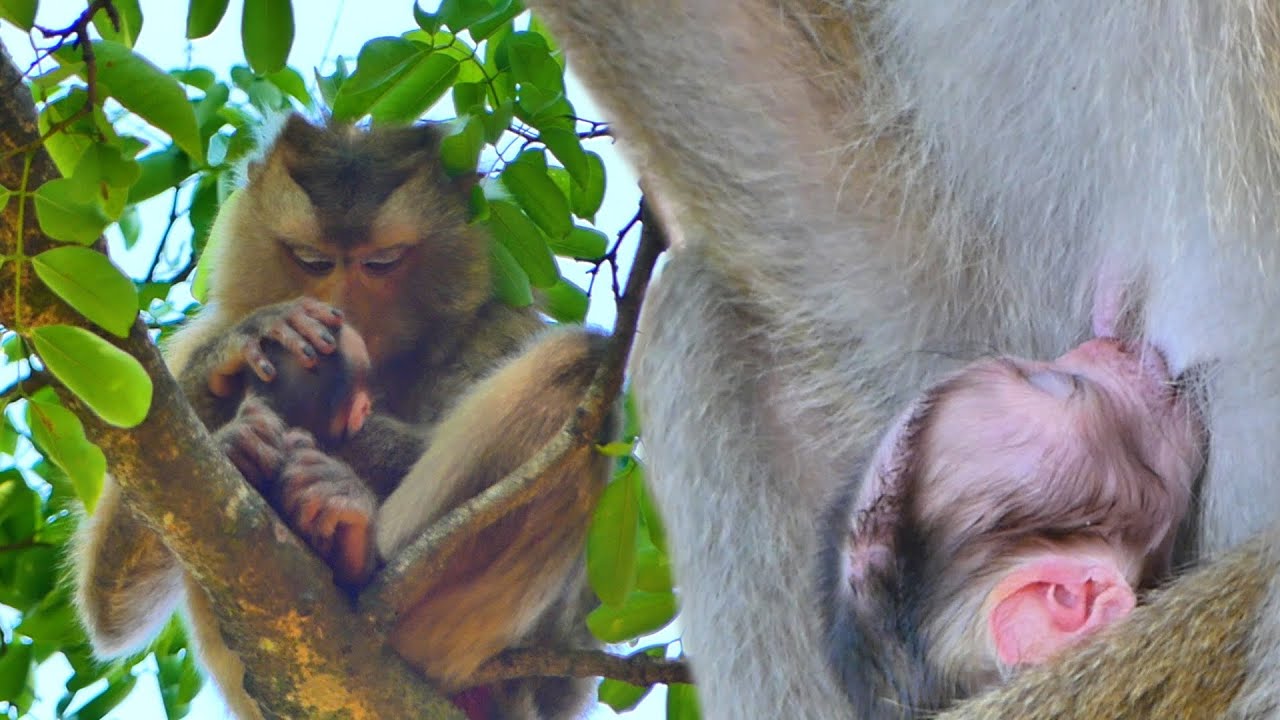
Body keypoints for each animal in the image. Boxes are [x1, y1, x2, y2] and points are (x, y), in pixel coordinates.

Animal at [73, 115, 611, 720]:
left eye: (381, 263)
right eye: (312, 260)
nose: (341, 312)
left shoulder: (502, 323)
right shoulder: (193, 341)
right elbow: (113, 598)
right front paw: (235, 378)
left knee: (579, 367)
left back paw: (354, 548)